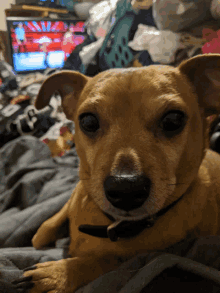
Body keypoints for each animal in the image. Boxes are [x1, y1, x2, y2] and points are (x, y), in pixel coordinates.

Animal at [14, 53, 220, 290]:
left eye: (173, 120)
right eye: (88, 121)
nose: (126, 189)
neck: (111, 222)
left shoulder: (139, 258)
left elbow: (105, 261)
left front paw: (58, 274)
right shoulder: (78, 190)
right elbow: (53, 221)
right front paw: (41, 235)